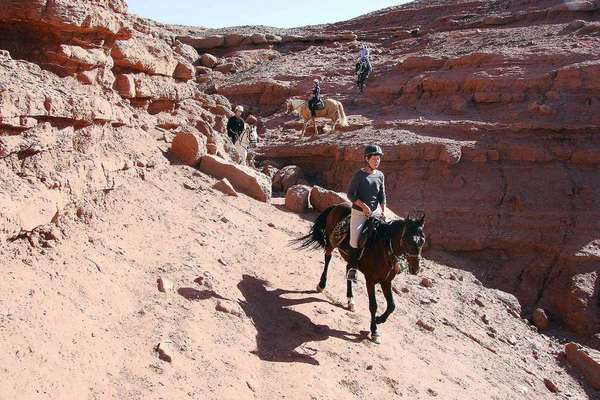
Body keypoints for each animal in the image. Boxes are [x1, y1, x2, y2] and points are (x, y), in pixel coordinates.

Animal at [292, 205, 424, 342]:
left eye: (422, 241)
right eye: (406, 239)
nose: (415, 268)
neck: (385, 249)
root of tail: (337, 206)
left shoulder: (386, 281)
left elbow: (392, 306)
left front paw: (379, 320)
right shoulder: (370, 280)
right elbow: (373, 305)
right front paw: (374, 330)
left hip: (350, 259)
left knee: (348, 270)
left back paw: (351, 301)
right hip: (330, 243)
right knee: (327, 258)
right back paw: (321, 285)